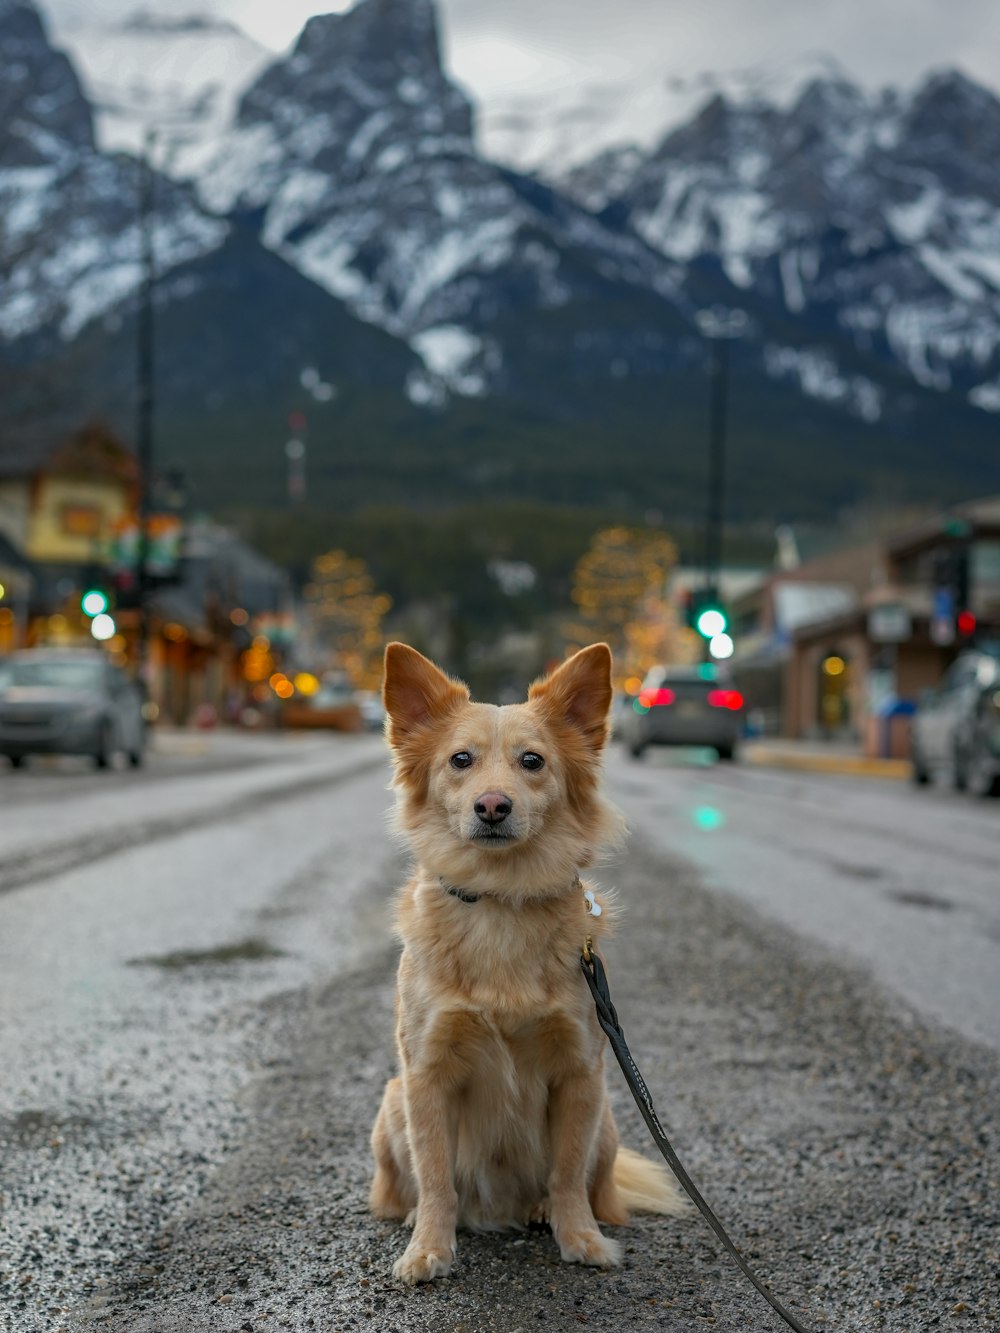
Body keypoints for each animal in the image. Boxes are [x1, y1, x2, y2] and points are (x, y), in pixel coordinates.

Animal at [373, 639, 688, 1285]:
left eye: (533, 761)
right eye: (460, 760)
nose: (493, 805)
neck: (500, 898)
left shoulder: (580, 1073)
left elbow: (566, 1172)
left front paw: (581, 1237)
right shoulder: (426, 1075)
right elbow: (436, 1176)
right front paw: (429, 1248)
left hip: (608, 1121)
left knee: (586, 1183)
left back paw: (546, 1211)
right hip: (391, 1105)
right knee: (408, 1187)